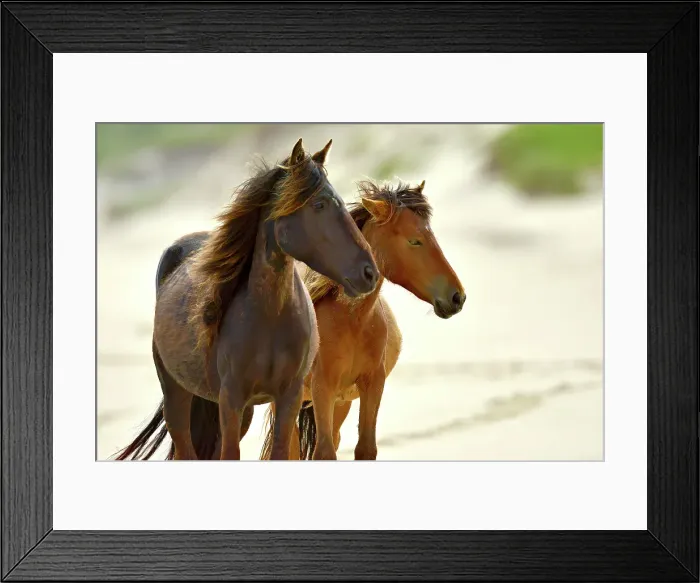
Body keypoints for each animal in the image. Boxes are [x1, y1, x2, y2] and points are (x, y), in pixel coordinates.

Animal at [113, 138, 379, 461]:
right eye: (319, 204)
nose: (369, 272)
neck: (269, 318)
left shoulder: (288, 397)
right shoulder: (232, 399)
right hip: (178, 396)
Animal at [258, 178, 466, 460]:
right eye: (415, 241)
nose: (457, 297)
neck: (350, 320)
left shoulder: (371, 384)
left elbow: (364, 447)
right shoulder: (323, 387)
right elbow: (323, 452)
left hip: (340, 404)